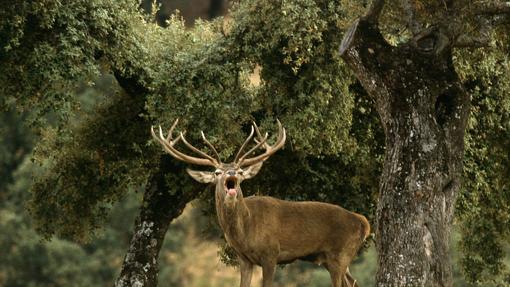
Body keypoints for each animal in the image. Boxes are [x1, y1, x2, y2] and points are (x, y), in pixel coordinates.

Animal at [151, 119, 370, 287]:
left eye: (240, 171)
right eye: (217, 172)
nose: (231, 173)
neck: (246, 231)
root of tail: (363, 222)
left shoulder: (271, 253)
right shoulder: (244, 258)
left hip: (340, 253)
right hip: (332, 258)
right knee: (353, 282)